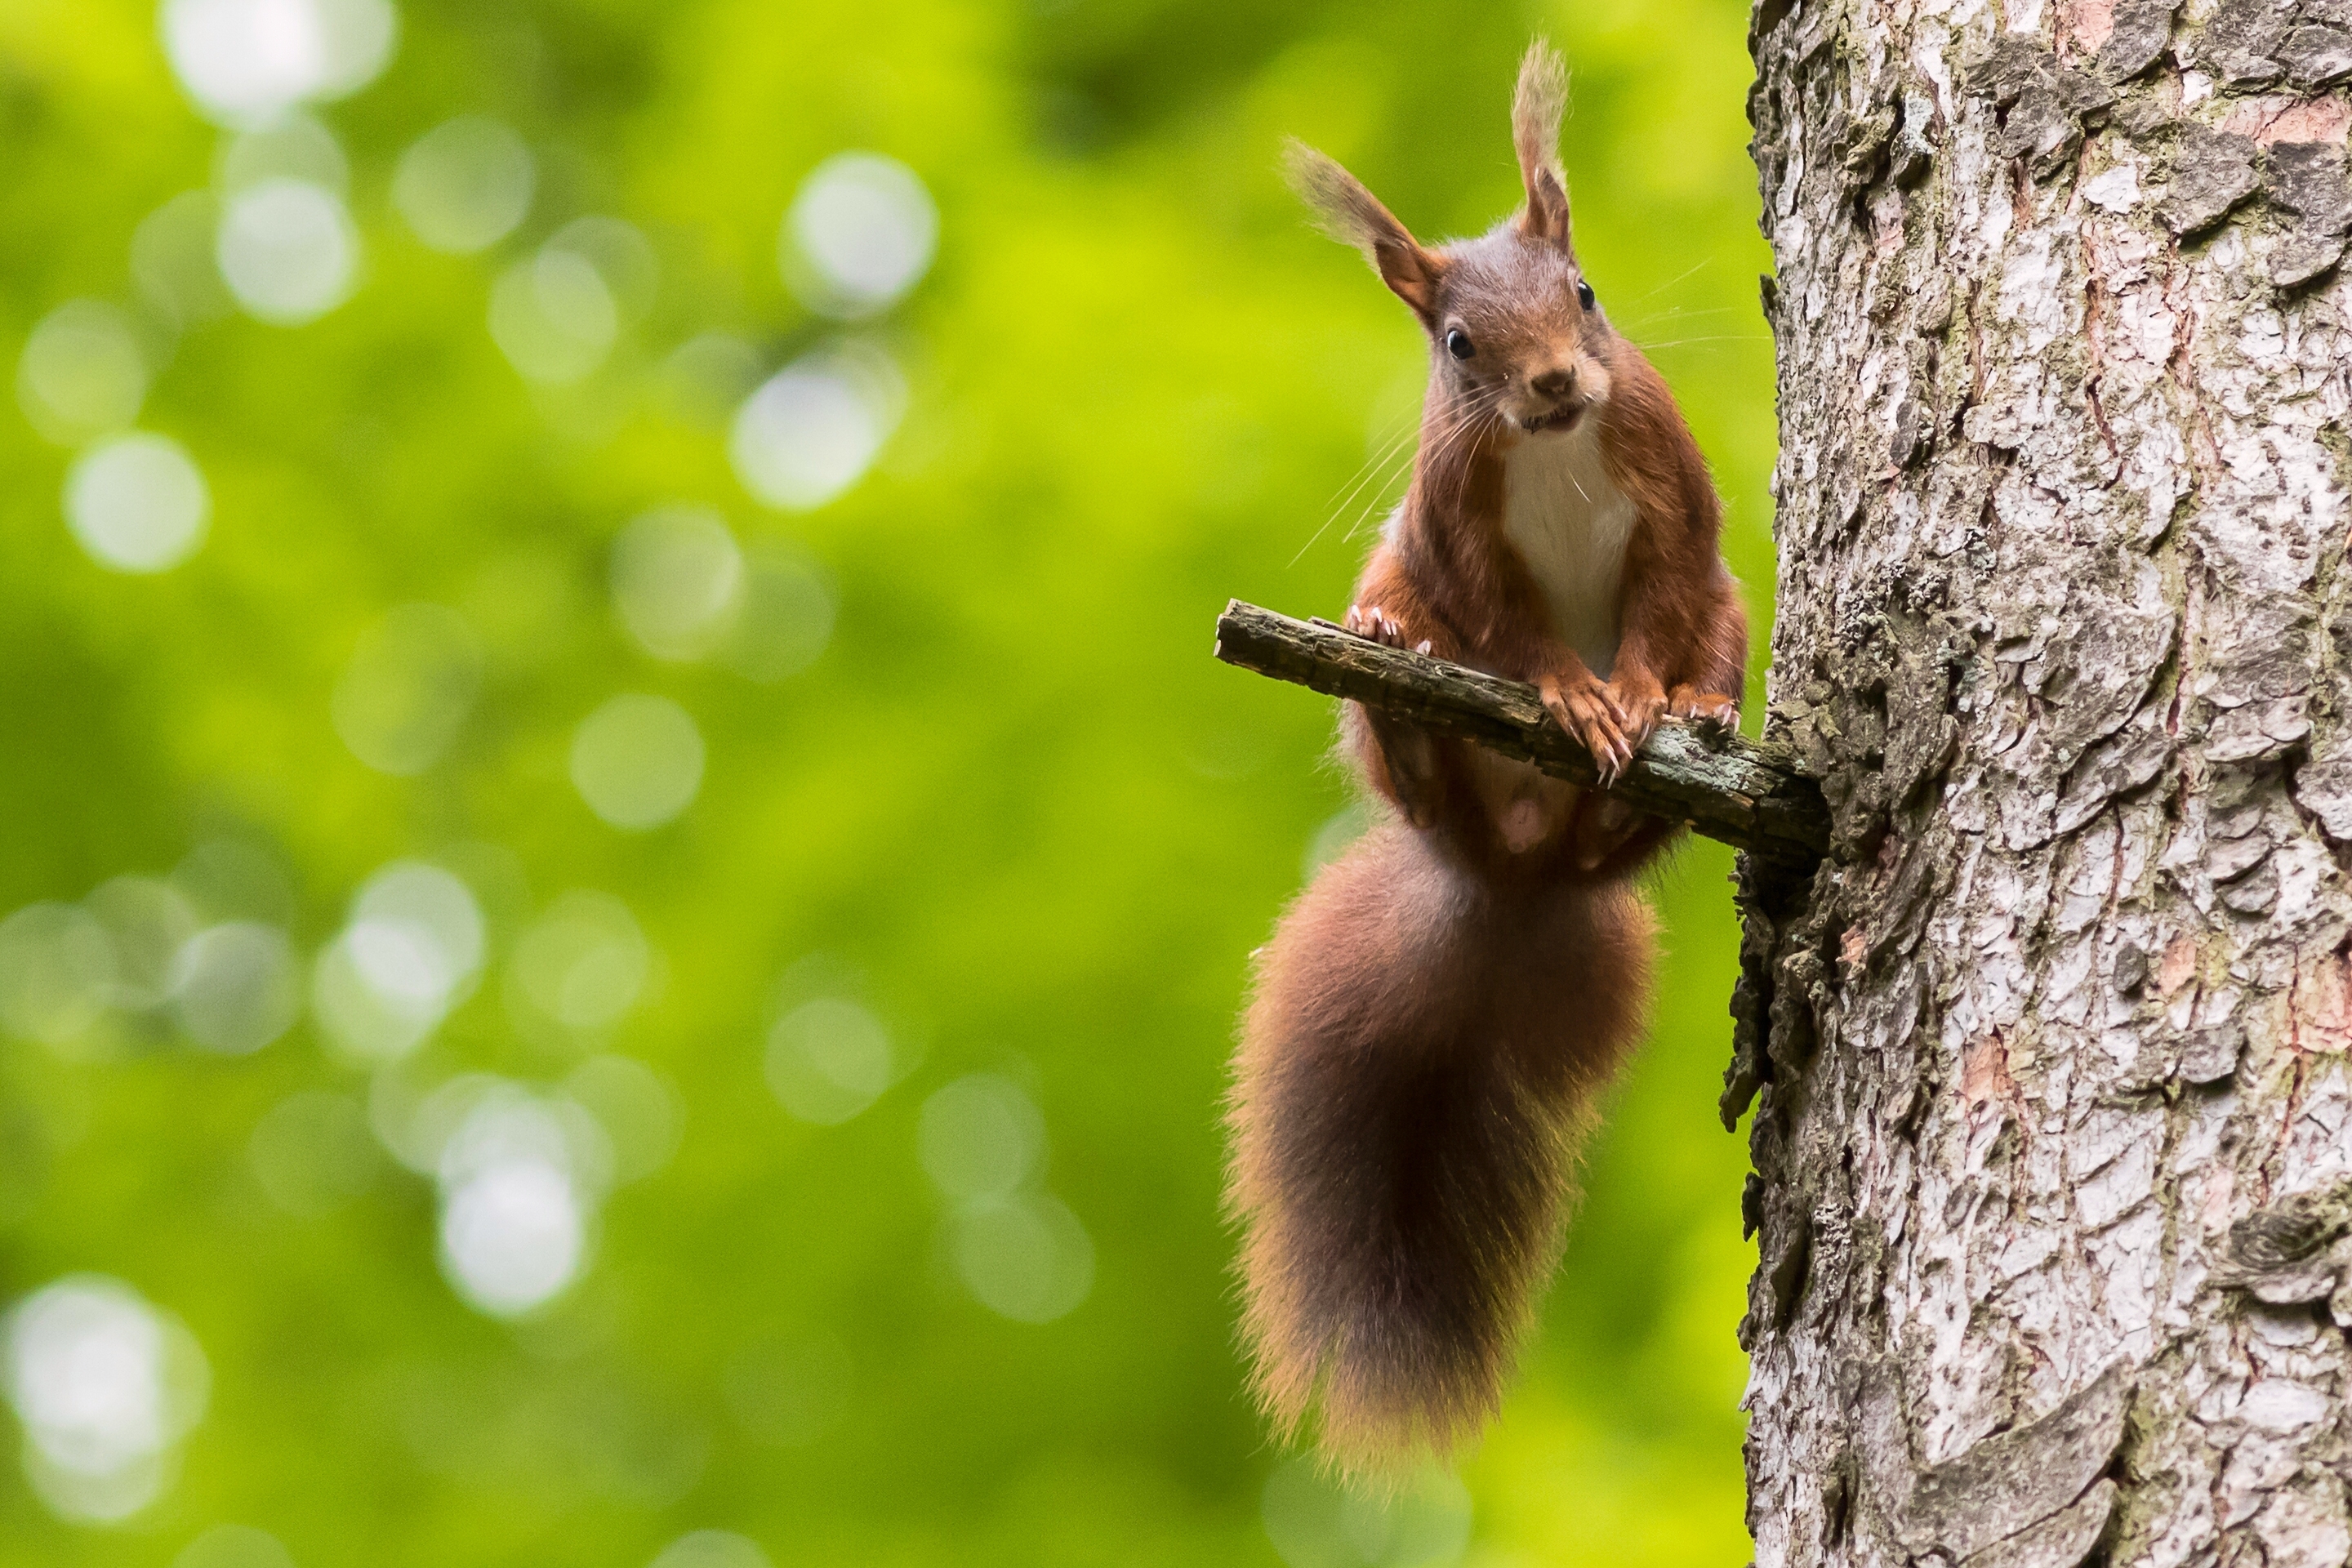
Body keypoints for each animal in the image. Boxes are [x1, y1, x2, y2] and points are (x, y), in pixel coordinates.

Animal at [1232, 42, 1749, 1476]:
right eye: (1457, 344)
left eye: (1586, 291)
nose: (1557, 386)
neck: (1558, 449)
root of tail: (1511, 869)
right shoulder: (1458, 531)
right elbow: (1514, 631)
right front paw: (1574, 694)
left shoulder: (1672, 497)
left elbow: (1663, 602)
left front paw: (1639, 695)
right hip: (1394, 618)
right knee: (1411, 729)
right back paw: (1402, 682)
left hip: (1738, 626)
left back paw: (1700, 727)